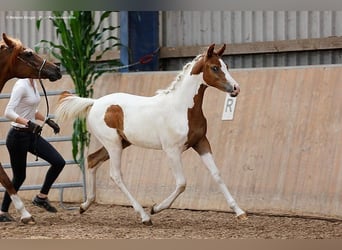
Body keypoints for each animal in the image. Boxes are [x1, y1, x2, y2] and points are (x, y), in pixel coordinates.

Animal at [56, 43, 248, 225]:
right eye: (214, 67)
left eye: (226, 66)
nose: (236, 88)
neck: (181, 108)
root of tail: (94, 102)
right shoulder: (172, 150)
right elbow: (182, 183)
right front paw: (156, 208)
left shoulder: (201, 142)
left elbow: (216, 174)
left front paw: (240, 213)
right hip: (113, 144)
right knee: (116, 175)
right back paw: (144, 216)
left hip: (121, 142)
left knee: (92, 160)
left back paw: (84, 205)